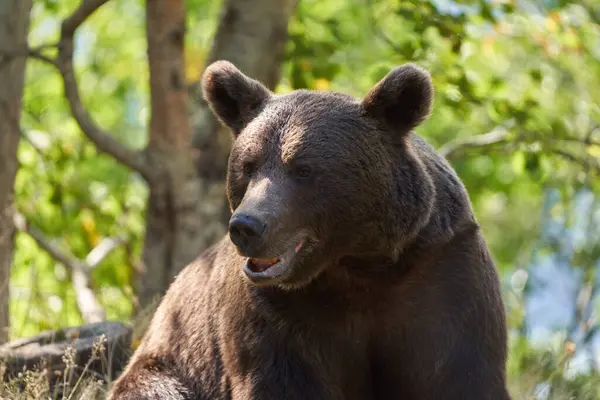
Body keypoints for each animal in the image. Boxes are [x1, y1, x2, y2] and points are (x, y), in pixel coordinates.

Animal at [106, 60, 510, 400]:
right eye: (248, 166)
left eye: (303, 169)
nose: (246, 226)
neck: (356, 263)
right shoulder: (279, 315)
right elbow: (281, 380)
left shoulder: (440, 278)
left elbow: (457, 373)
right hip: (165, 365)